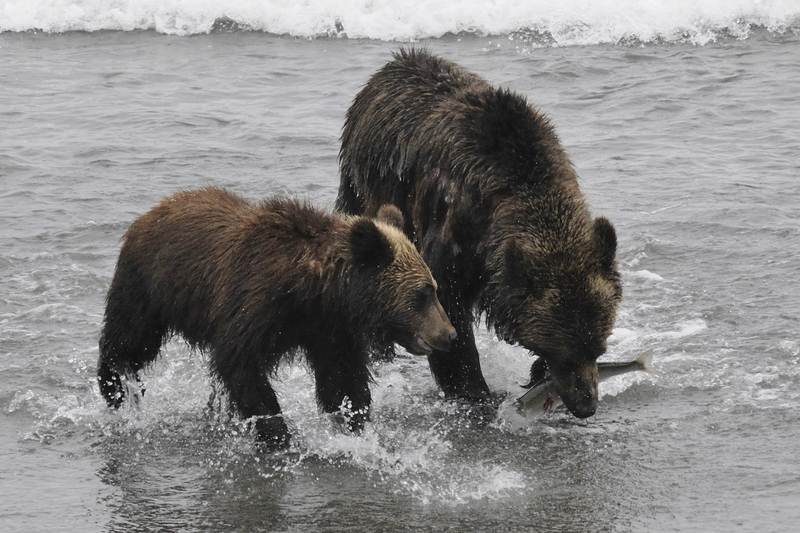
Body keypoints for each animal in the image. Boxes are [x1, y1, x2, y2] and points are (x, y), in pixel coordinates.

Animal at [98, 187, 456, 444]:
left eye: (434, 288)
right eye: (422, 294)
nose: (449, 334)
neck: (315, 290)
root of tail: (150, 212)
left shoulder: (328, 329)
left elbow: (342, 378)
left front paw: (355, 424)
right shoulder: (257, 303)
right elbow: (240, 363)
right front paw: (278, 433)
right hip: (147, 287)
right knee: (129, 340)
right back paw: (114, 386)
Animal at [334, 47, 620, 418]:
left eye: (598, 347)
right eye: (564, 351)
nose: (586, 404)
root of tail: (391, 66)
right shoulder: (454, 231)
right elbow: (447, 306)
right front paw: (474, 390)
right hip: (368, 188)